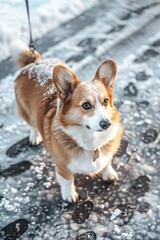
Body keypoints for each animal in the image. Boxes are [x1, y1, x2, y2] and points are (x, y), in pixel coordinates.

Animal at [14, 49, 122, 202]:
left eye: (106, 101)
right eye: (86, 105)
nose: (106, 124)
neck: (91, 141)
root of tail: (33, 64)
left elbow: (106, 163)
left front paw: (108, 174)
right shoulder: (62, 168)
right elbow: (67, 181)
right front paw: (69, 195)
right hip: (26, 112)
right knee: (32, 124)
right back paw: (35, 136)